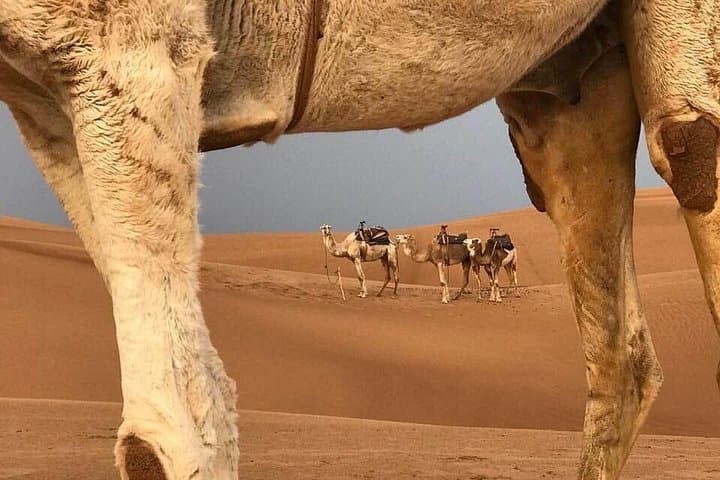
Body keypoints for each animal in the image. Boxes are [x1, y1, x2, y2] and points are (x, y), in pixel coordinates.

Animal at [2, 0, 718, 478]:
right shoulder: (41, 97)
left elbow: (163, 438)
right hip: (569, 83)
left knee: (689, 147)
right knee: (618, 355)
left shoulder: (131, 45)